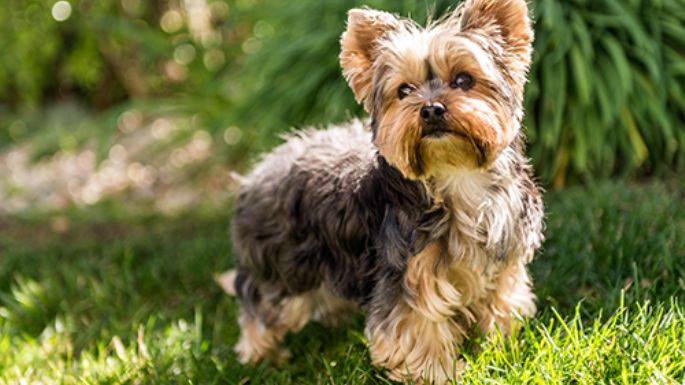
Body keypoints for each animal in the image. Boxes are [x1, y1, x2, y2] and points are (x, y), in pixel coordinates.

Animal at [222, 0, 544, 380]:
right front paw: (439, 375)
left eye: (464, 79)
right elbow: (418, 329)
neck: (457, 176)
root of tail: (257, 172)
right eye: (404, 90)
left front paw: (499, 351)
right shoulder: (407, 274)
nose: (430, 109)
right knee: (260, 304)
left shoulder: (503, 260)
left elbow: (501, 304)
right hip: (283, 266)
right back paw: (261, 358)